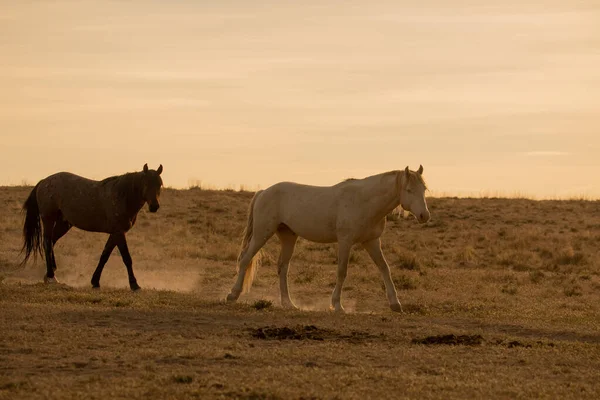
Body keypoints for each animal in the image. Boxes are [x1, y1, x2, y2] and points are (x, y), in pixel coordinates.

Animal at [21, 163, 163, 290]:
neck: (122, 196)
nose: (154, 206)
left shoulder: (114, 233)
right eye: (146, 184)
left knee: (51, 242)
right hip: (48, 220)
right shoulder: (119, 232)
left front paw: (95, 281)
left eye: (159, 184)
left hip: (63, 223)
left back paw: (51, 273)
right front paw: (134, 284)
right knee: (47, 243)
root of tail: (44, 181)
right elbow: (126, 258)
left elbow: (104, 256)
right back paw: (51, 276)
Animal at [227, 166, 428, 312]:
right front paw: (337, 305)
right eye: (409, 190)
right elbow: (342, 271)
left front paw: (395, 304)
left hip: (288, 237)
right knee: (245, 259)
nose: (424, 215)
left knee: (282, 268)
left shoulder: (371, 242)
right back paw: (233, 295)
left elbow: (385, 268)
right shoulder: (346, 241)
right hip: (262, 234)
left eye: (424, 189)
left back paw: (288, 303)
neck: (364, 201)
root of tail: (263, 192)